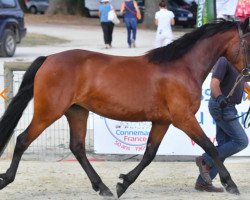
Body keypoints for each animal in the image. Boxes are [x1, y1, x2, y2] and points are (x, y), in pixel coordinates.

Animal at [0, 17, 250, 198]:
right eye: (248, 43)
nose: (248, 75)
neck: (182, 67)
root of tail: (48, 59)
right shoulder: (183, 118)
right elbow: (211, 147)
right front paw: (230, 184)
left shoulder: (163, 121)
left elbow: (149, 153)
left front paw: (123, 183)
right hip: (49, 112)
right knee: (22, 140)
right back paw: (6, 179)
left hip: (77, 111)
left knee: (77, 148)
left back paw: (103, 188)